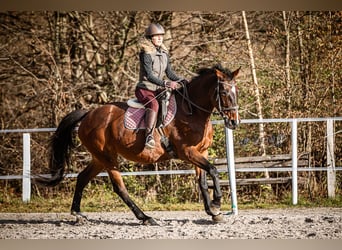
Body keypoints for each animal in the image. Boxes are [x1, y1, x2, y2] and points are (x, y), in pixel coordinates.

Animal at [36, 64, 240, 225]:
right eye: (224, 93)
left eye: (235, 93)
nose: (234, 122)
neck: (193, 112)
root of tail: (88, 114)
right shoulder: (187, 152)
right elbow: (213, 170)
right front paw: (216, 204)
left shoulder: (201, 152)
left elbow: (203, 181)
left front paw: (212, 212)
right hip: (107, 158)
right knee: (119, 188)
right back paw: (145, 217)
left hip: (99, 158)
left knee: (82, 178)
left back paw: (78, 214)